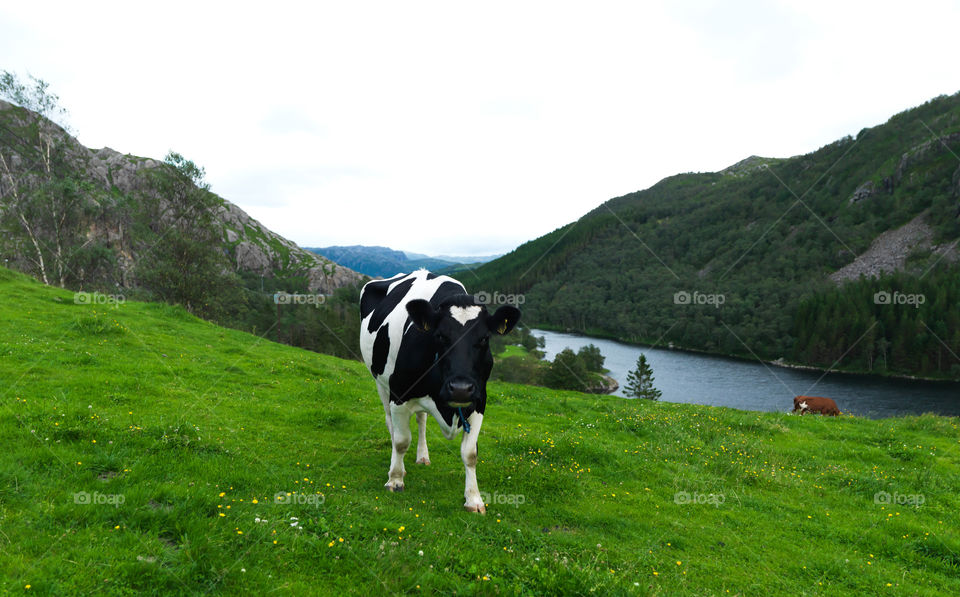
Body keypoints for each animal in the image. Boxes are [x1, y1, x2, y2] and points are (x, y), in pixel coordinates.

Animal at [359, 270, 520, 513]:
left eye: (484, 338)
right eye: (441, 336)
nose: (460, 389)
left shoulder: (479, 402)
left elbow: (470, 453)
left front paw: (474, 499)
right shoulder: (399, 395)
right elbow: (401, 441)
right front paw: (395, 480)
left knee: (421, 420)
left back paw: (422, 456)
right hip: (381, 382)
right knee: (391, 425)